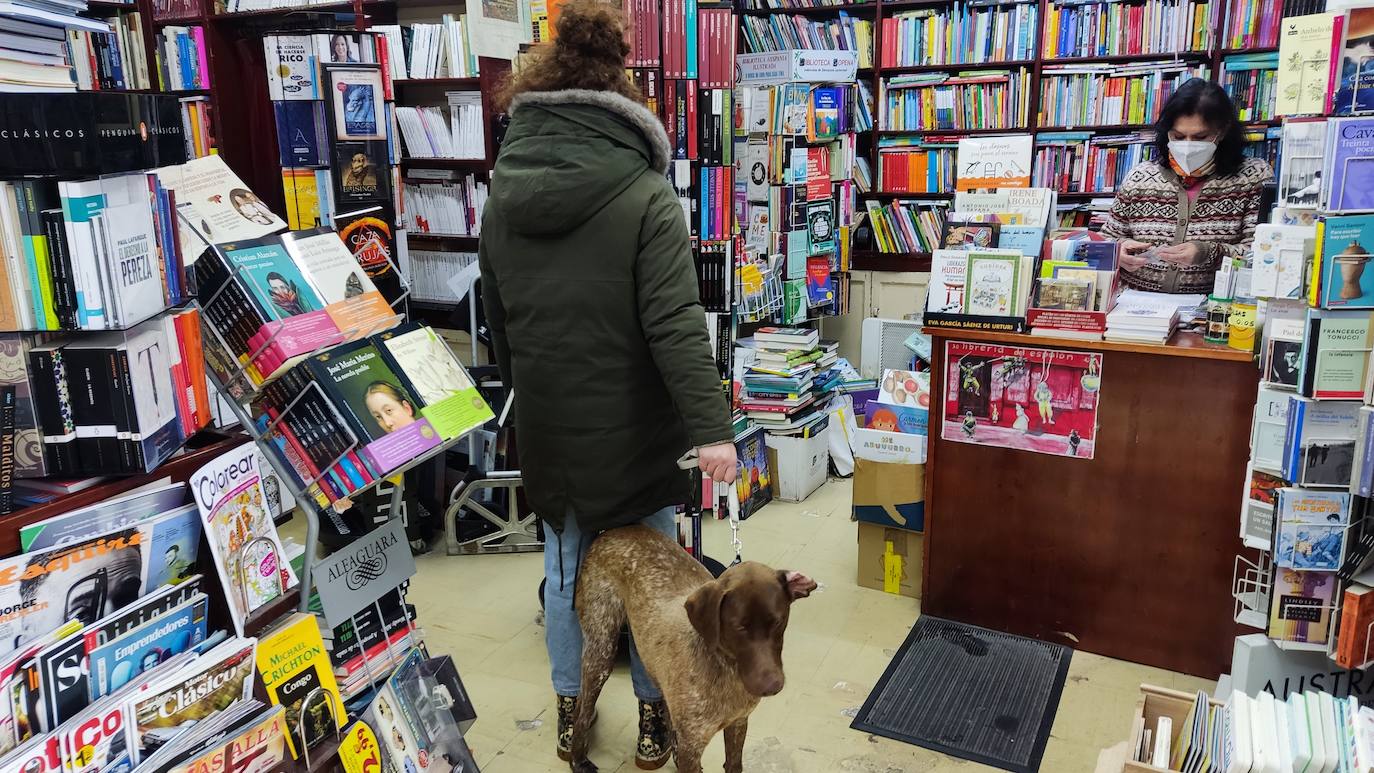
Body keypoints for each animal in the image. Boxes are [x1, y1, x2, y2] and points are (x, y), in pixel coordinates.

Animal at [568, 527, 813, 773]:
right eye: (739, 627)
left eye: (778, 622)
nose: (772, 686)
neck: (726, 669)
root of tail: (611, 531)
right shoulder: (692, 746)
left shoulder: (737, 724)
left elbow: (733, 763)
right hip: (601, 651)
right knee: (581, 711)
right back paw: (578, 760)